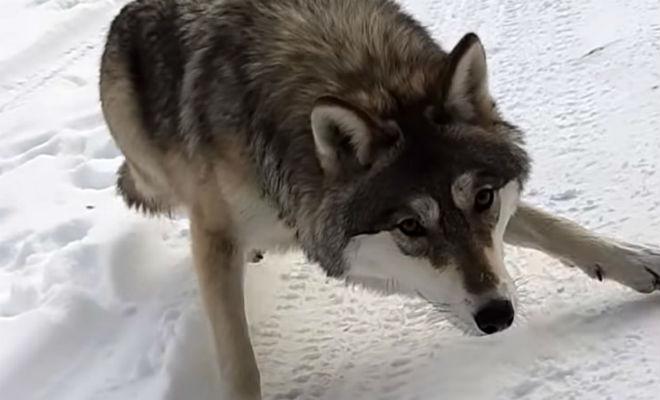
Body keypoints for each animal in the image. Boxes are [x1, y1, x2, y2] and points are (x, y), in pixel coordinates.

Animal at [99, 0, 660, 396]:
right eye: (409, 227)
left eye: (483, 198)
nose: (498, 315)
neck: (360, 78)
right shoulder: (214, 235)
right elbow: (239, 361)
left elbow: (552, 226)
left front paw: (635, 261)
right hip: (151, 162)